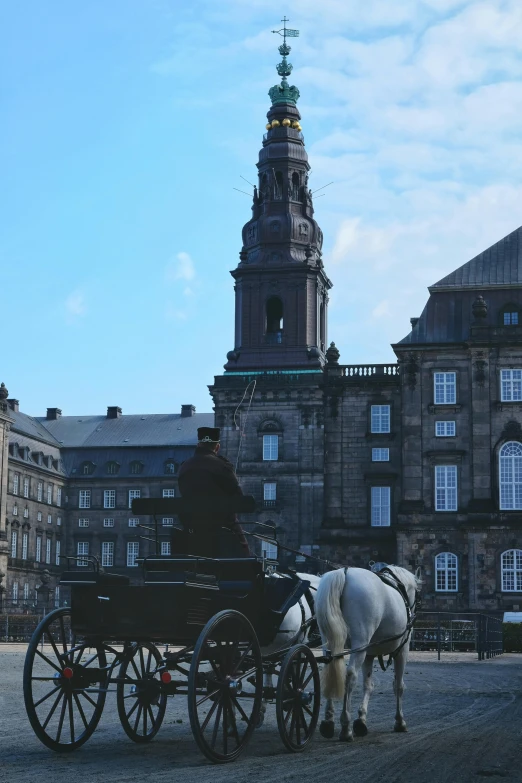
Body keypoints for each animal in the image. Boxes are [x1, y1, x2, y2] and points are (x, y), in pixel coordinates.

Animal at [312, 568, 418, 740]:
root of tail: (344, 571)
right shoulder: (402, 651)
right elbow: (398, 685)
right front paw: (400, 721)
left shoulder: (368, 654)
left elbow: (368, 685)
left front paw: (361, 719)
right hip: (360, 642)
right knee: (350, 676)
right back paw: (345, 727)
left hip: (330, 641)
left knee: (331, 669)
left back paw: (328, 721)